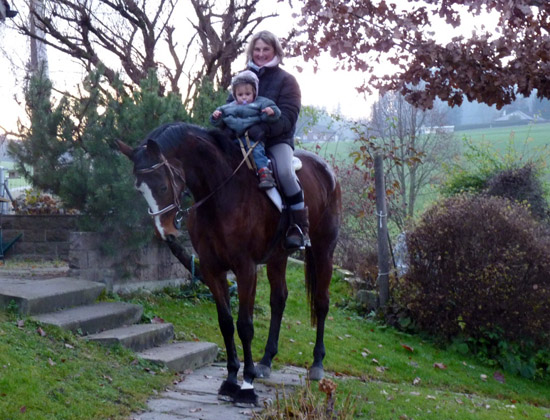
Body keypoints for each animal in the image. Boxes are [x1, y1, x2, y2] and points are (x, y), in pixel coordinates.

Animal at [117, 122, 340, 406]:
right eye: (140, 190)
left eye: (163, 186)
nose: (163, 231)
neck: (221, 193)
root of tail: (326, 170)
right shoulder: (212, 269)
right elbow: (225, 323)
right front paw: (231, 379)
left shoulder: (246, 269)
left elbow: (245, 326)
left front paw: (246, 385)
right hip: (278, 257)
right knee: (279, 299)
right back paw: (266, 361)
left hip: (324, 251)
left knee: (322, 303)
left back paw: (317, 364)